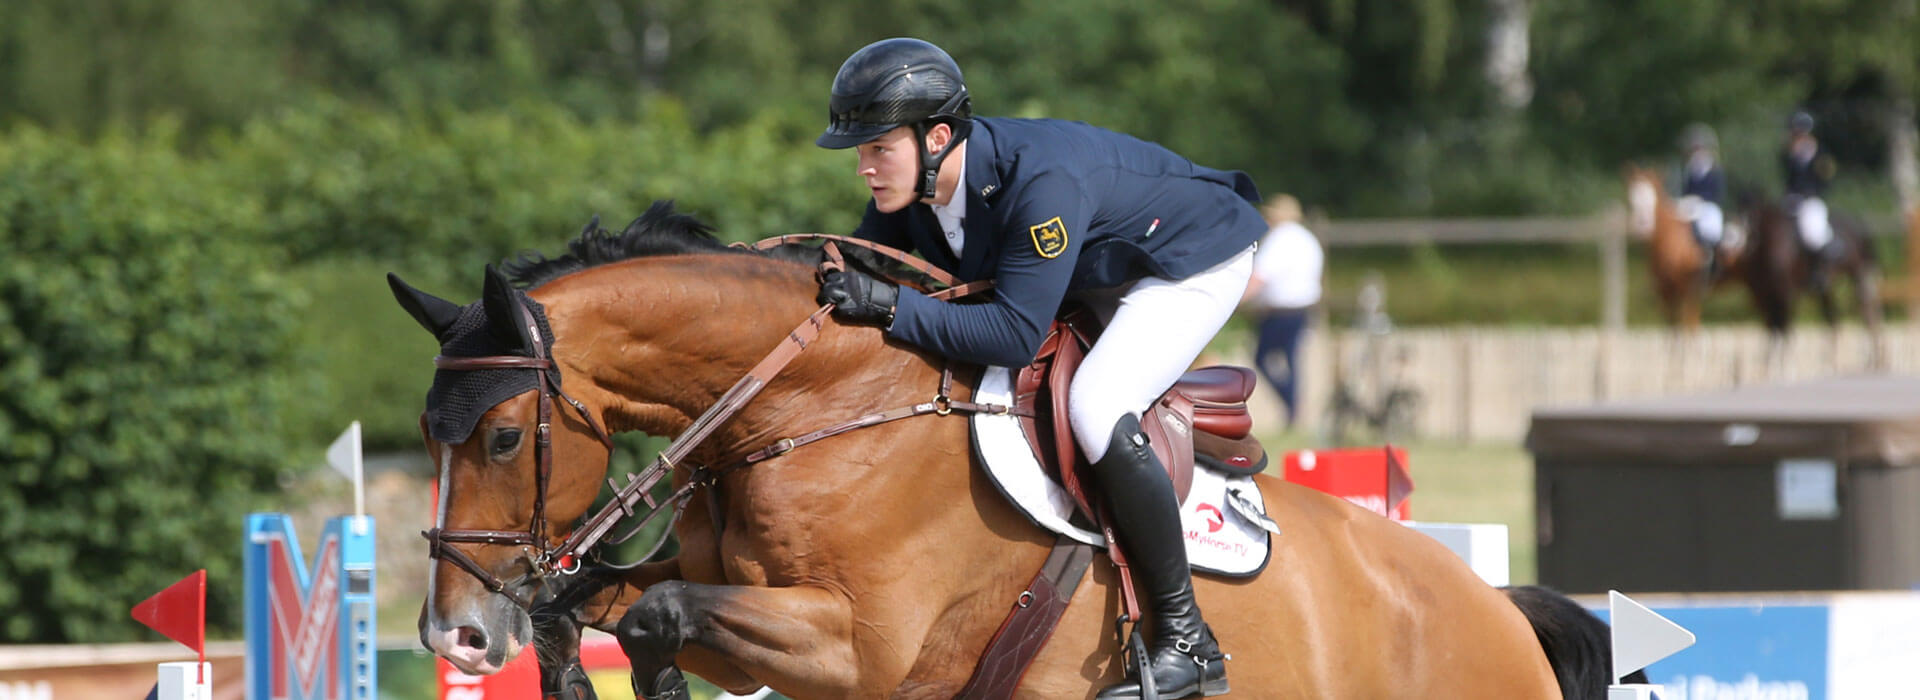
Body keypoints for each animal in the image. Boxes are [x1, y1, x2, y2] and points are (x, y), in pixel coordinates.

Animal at [397, 203, 1628, 698]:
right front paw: (569, 661)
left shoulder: (860, 649)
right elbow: (601, 608)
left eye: (501, 434)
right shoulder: (736, 604)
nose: (456, 635)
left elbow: (655, 614)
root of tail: (1497, 606)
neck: (807, 404)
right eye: (425, 437)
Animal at [1620, 163, 1743, 329]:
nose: (1643, 227)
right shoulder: (1666, 295)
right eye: (1631, 198)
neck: (1671, 244)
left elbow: (1689, 327)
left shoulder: (1690, 294)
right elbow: (1672, 329)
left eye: (1653, 199)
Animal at [1735, 190, 1881, 366]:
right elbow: (1773, 327)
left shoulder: (1786, 294)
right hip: (1827, 288)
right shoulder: (1764, 295)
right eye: (1737, 212)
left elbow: (1783, 327)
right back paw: (1832, 358)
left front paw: (1785, 362)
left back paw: (1866, 358)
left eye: (1751, 215)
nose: (1743, 245)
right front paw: (1770, 362)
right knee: (1832, 317)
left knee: (1866, 314)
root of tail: (1856, 224)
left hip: (1858, 276)